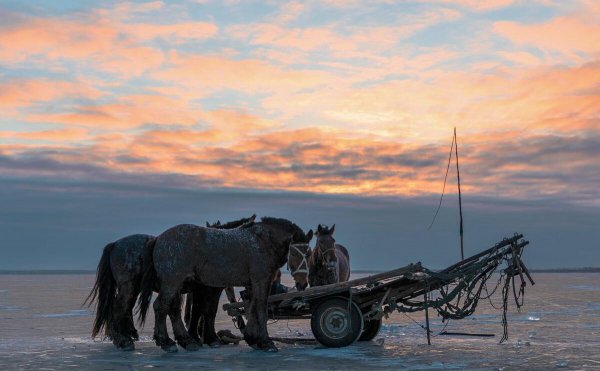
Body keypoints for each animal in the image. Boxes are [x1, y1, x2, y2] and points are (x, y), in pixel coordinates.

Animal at [83, 215, 254, 352]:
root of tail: (115, 244)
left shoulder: (195, 290)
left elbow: (193, 311)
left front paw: (196, 338)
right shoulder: (208, 290)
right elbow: (206, 311)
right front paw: (208, 339)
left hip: (134, 288)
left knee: (124, 309)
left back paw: (125, 336)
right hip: (130, 287)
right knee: (119, 308)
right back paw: (124, 341)